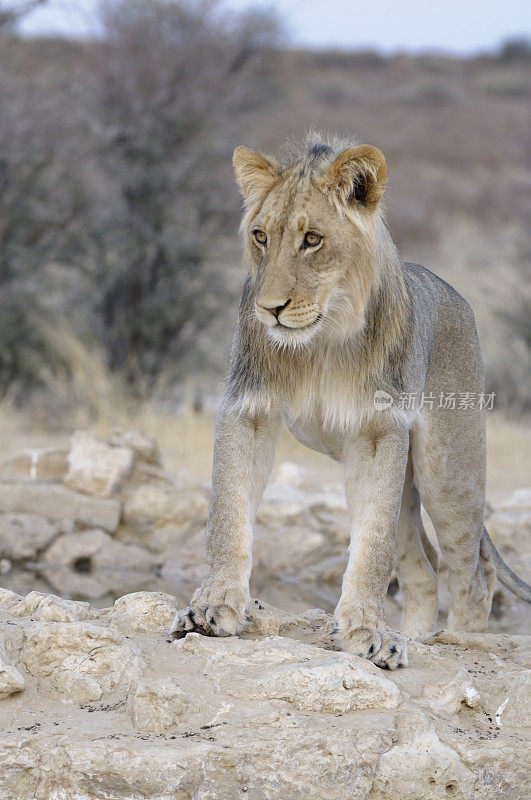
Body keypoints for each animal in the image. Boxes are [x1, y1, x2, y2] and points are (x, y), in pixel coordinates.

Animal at [171, 133, 531, 668]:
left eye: (312, 240)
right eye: (260, 237)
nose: (270, 309)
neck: (322, 339)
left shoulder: (378, 430)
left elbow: (372, 544)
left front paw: (365, 631)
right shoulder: (248, 406)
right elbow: (228, 515)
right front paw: (212, 608)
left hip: (446, 472)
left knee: (471, 576)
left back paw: (458, 641)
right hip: (406, 482)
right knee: (423, 570)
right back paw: (419, 636)